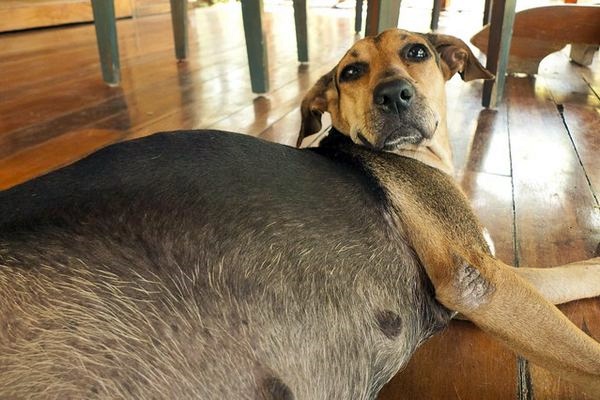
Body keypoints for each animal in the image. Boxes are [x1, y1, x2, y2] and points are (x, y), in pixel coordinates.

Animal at [296, 28, 600, 394]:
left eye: (416, 52)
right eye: (351, 72)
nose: (393, 95)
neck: (410, 154)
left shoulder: (490, 283)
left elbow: (572, 273)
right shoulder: (478, 280)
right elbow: (589, 357)